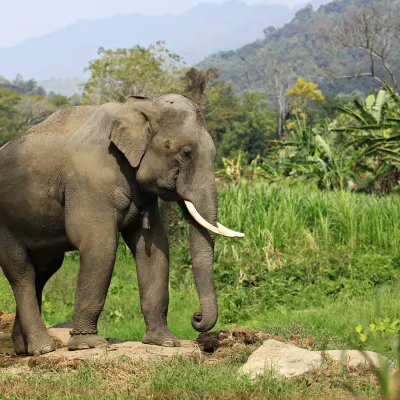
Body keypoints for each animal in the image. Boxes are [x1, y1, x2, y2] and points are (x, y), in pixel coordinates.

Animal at [0, 94, 244, 356]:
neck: (141, 107)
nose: (196, 317)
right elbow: (99, 244)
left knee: (44, 270)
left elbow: (154, 247)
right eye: (186, 152)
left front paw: (165, 342)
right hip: (4, 222)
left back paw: (25, 349)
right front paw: (88, 345)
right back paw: (43, 348)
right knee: (21, 271)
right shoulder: (90, 182)